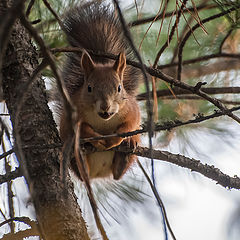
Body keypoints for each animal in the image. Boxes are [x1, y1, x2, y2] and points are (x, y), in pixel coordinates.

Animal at [59, 0, 142, 179]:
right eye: (89, 88)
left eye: (119, 88)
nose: (105, 107)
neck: (104, 121)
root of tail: (99, 173)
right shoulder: (73, 113)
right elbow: (83, 129)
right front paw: (97, 139)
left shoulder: (131, 109)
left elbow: (129, 125)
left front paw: (116, 139)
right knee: (82, 172)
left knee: (118, 172)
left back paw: (126, 152)